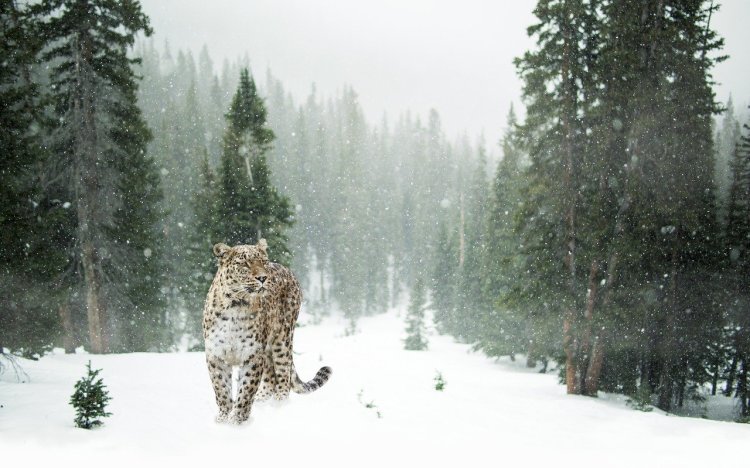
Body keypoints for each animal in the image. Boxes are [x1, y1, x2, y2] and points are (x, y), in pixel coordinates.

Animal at [202, 239, 332, 424]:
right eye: (244, 264)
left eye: (263, 261)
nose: (263, 278)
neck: (236, 306)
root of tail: (287, 269)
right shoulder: (216, 355)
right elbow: (221, 389)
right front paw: (223, 418)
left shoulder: (253, 355)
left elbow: (246, 389)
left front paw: (237, 420)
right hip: (269, 348)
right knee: (271, 377)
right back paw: (262, 400)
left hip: (282, 339)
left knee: (283, 374)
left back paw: (279, 405)